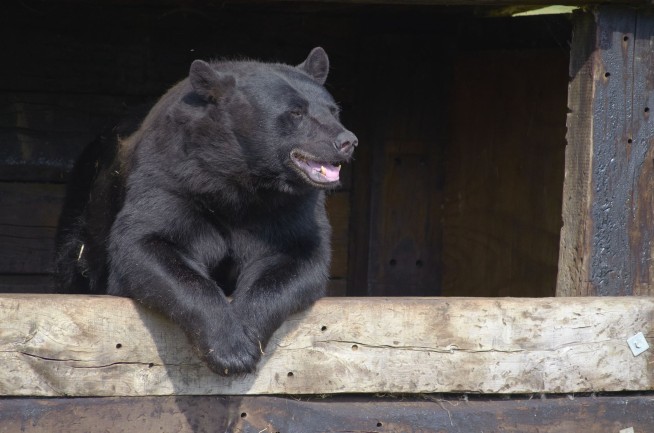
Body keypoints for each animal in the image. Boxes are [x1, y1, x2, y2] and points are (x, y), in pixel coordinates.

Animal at [54, 47, 357, 376]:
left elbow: (298, 258)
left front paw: (246, 334)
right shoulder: (171, 179)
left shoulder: (291, 208)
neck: (239, 183)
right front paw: (229, 349)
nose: (347, 141)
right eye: (296, 112)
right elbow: (146, 245)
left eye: (333, 110)